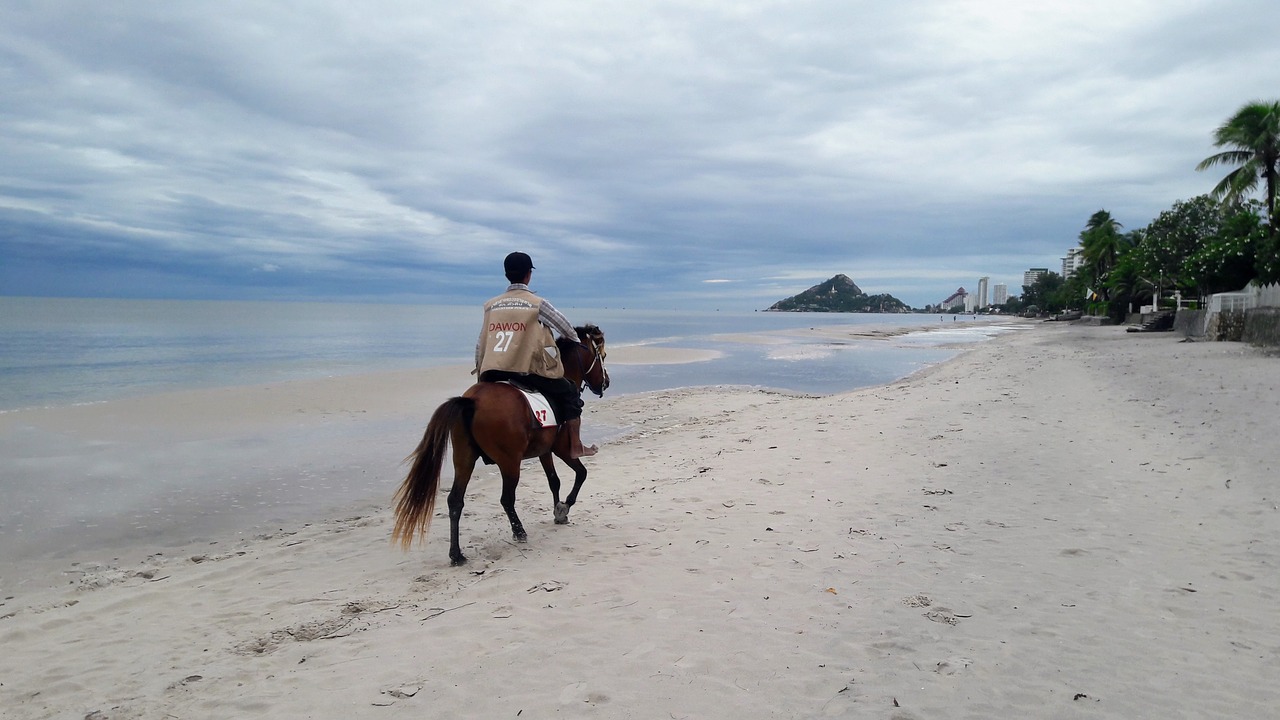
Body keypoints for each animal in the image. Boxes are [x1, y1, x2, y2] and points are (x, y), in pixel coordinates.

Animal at [389, 322, 609, 563]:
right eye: (602, 356)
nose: (606, 382)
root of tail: (472, 401)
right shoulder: (560, 448)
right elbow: (581, 474)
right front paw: (564, 507)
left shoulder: (545, 451)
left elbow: (554, 481)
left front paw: (559, 512)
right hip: (510, 462)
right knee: (506, 499)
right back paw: (519, 531)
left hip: (464, 459)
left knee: (455, 501)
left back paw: (456, 554)